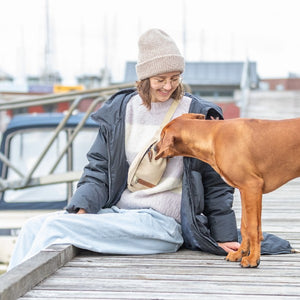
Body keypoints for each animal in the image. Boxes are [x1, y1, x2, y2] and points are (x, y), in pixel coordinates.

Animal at [155, 113, 300, 268]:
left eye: (161, 135)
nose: (154, 149)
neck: (213, 136)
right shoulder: (247, 190)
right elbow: (245, 226)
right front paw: (240, 253)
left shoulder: (251, 186)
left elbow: (252, 228)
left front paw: (253, 259)